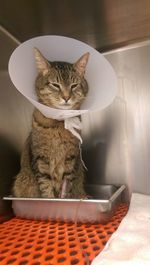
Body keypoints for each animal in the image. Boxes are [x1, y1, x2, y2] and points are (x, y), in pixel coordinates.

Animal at [12, 47, 89, 197]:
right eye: (55, 85)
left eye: (74, 85)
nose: (66, 97)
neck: (57, 125)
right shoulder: (41, 158)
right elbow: (45, 186)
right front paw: (48, 197)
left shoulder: (70, 158)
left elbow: (66, 185)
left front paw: (64, 198)